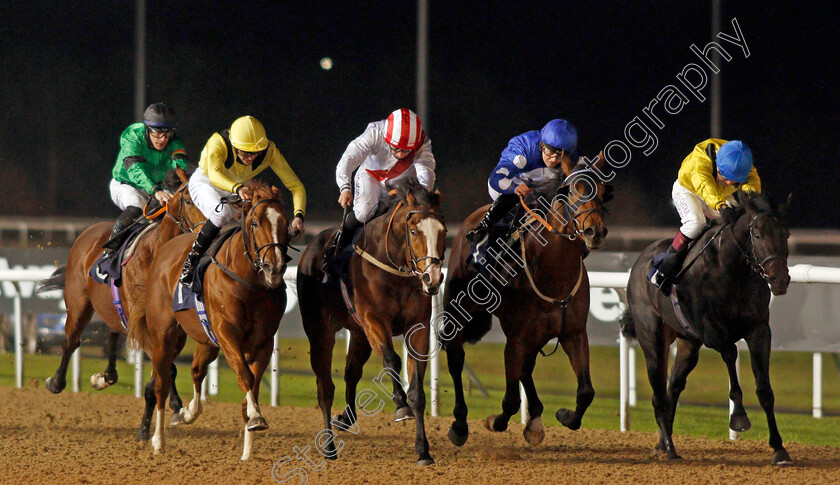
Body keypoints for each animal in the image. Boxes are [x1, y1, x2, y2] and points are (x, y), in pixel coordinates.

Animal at [38, 167, 206, 416]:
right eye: (188, 200)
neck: (156, 254)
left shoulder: (172, 326)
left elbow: (168, 364)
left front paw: (176, 404)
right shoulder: (142, 321)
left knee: (111, 332)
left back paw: (106, 376)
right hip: (78, 303)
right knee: (71, 340)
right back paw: (57, 382)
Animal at [135, 180, 296, 460]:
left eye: (285, 224)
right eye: (255, 223)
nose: (273, 269)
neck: (250, 284)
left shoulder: (263, 342)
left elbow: (252, 388)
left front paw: (247, 451)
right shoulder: (227, 332)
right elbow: (245, 377)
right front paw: (256, 419)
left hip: (205, 341)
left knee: (196, 370)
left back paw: (188, 413)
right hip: (164, 337)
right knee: (161, 385)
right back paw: (157, 440)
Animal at [298, 179, 450, 466]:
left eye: (443, 231)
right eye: (414, 231)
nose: (432, 278)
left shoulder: (418, 328)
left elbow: (417, 391)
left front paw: (423, 451)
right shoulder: (374, 320)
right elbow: (392, 360)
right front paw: (400, 405)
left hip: (359, 334)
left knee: (351, 372)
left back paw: (345, 418)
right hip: (320, 332)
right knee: (325, 387)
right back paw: (329, 447)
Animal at [442, 153, 612, 448]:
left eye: (602, 192)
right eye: (571, 191)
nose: (595, 232)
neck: (553, 272)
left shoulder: (573, 333)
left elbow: (586, 391)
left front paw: (564, 415)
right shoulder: (516, 338)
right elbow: (510, 399)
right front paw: (494, 421)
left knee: (526, 370)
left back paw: (535, 419)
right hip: (458, 309)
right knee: (456, 358)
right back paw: (460, 424)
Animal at [624, 190, 796, 466]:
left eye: (786, 235)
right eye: (758, 235)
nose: (778, 279)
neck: (731, 271)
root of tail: (641, 261)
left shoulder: (759, 330)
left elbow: (764, 389)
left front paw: (779, 449)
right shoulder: (710, 331)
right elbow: (730, 354)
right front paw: (739, 416)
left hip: (687, 343)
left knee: (673, 386)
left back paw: (662, 443)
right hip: (652, 338)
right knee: (658, 393)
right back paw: (669, 448)